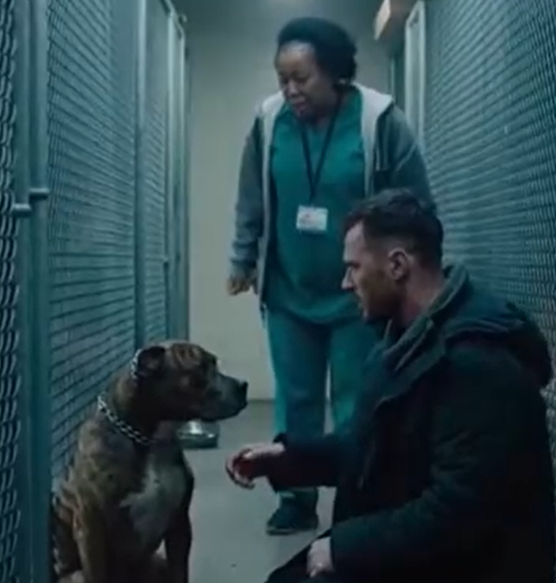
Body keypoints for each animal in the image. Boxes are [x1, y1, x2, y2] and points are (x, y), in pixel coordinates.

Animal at [51, 340, 248, 583]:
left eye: (214, 363)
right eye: (201, 367)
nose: (243, 385)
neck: (149, 437)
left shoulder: (180, 525)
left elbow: (180, 572)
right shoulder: (91, 527)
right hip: (76, 575)